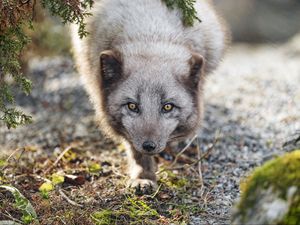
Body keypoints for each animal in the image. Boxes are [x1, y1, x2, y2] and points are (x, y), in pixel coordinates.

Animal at [72, 0, 227, 192]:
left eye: (167, 106)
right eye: (132, 106)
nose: (149, 146)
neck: (152, 35)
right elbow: (135, 150)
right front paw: (143, 177)